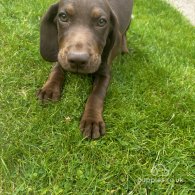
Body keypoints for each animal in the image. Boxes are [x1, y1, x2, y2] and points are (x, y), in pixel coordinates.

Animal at [37, 0, 133, 139]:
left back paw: (124, 48)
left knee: (124, 33)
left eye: (102, 21)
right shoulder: (61, 55)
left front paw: (92, 120)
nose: (77, 60)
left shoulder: (105, 72)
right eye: (63, 16)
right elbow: (56, 71)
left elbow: (96, 94)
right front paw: (49, 89)